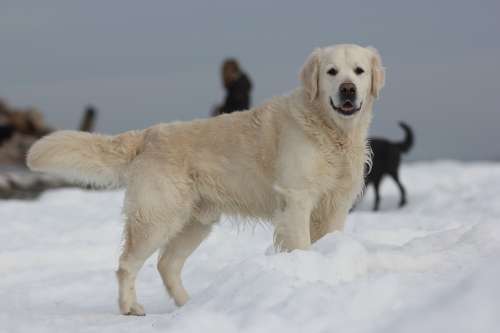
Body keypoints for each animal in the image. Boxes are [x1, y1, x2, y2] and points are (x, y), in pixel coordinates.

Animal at [27, 43, 384, 314]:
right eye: (331, 72)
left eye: (359, 71)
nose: (348, 90)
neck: (331, 131)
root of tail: (148, 134)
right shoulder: (296, 200)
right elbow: (301, 245)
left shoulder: (336, 204)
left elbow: (330, 240)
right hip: (157, 217)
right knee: (127, 263)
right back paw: (131, 308)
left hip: (195, 222)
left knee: (167, 264)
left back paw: (189, 305)